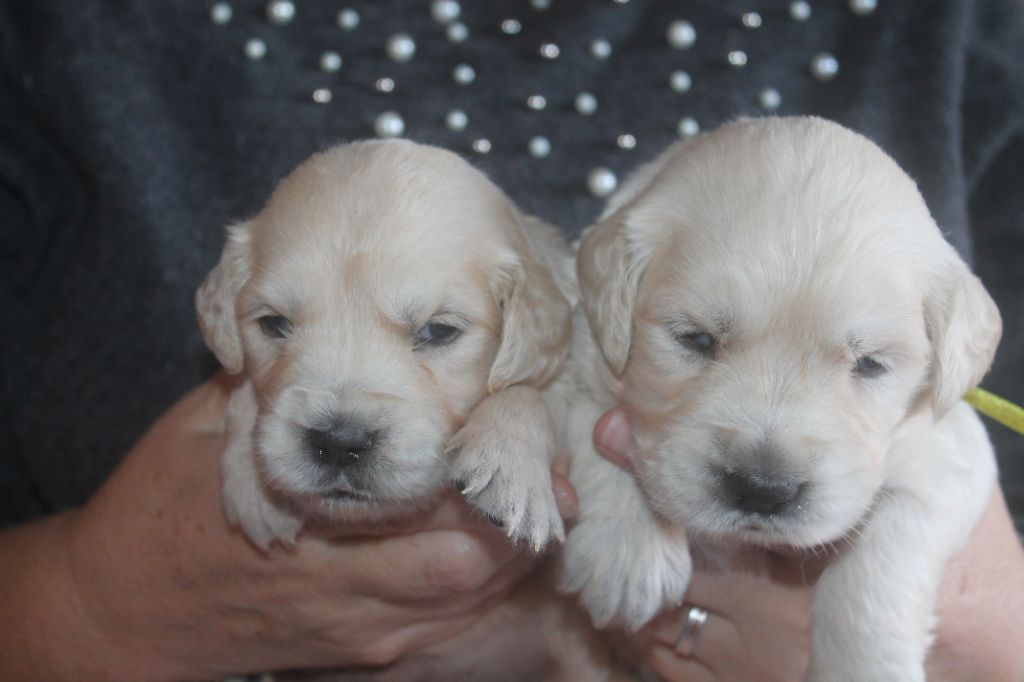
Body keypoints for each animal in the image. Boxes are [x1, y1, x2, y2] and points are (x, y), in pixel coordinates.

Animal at [194, 140, 573, 548]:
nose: (339, 443)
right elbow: (241, 383)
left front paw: (510, 466)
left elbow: (525, 389)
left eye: (438, 331)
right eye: (273, 323)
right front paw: (252, 485)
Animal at [561, 116, 999, 679]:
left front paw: (861, 666)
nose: (763, 490)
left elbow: (886, 551)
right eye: (696, 338)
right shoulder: (573, 350)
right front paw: (628, 553)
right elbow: (590, 423)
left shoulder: (948, 456)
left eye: (870, 364)